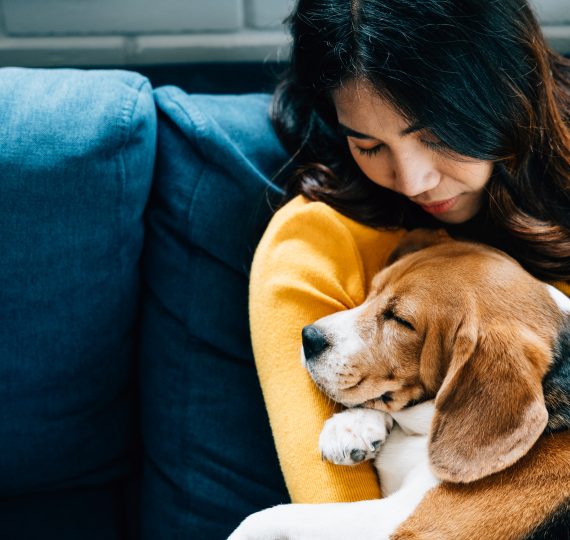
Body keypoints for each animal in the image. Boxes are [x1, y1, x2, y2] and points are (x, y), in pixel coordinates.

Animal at [230, 231, 568, 540]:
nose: (308, 337)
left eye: (401, 321)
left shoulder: (400, 526)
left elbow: (263, 517)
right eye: (373, 290)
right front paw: (351, 427)